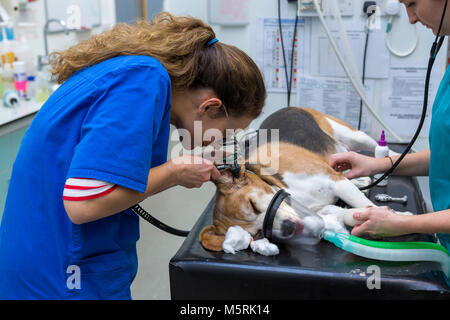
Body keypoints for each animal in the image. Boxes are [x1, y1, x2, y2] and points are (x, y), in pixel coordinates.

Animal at [200, 107, 404, 252]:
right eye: (258, 234)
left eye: (253, 205)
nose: (288, 228)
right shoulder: (322, 208)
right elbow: (351, 213)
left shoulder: (335, 180)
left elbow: (364, 203)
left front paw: (391, 217)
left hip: (354, 135)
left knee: (380, 148)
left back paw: (396, 155)